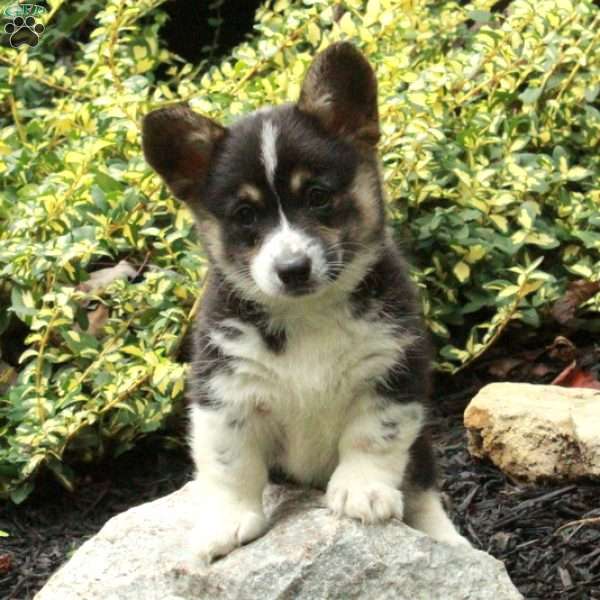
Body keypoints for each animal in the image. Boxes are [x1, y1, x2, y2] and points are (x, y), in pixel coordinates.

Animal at [142, 43, 468, 564]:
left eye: (317, 196)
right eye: (245, 214)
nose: (292, 268)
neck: (308, 314)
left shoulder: (393, 370)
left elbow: (373, 437)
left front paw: (361, 492)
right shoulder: (224, 390)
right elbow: (231, 464)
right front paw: (228, 523)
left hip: (422, 450)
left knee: (421, 489)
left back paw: (444, 538)